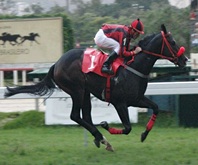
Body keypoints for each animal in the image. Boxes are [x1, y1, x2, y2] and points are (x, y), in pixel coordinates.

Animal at [4, 23, 187, 151]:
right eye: (172, 42)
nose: (184, 59)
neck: (133, 68)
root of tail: (56, 63)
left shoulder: (137, 99)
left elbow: (155, 107)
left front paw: (144, 134)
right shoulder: (120, 103)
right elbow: (127, 128)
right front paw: (105, 124)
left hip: (85, 92)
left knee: (85, 116)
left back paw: (101, 139)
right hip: (77, 90)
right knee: (75, 116)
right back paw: (101, 136)